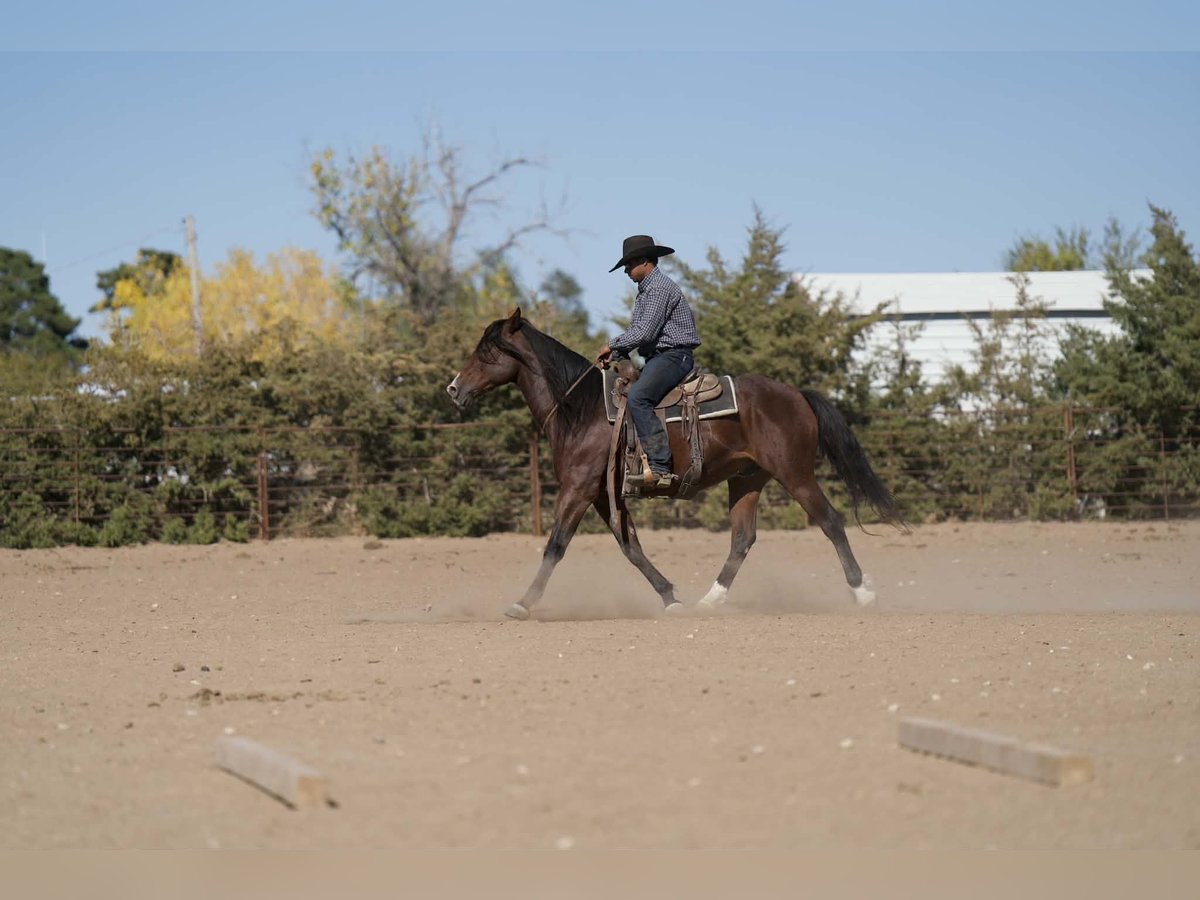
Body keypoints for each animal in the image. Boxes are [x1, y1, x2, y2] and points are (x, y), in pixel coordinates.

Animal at [446, 309, 906, 620]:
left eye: (487, 352)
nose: (453, 389)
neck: (582, 409)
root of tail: (795, 394)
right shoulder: (603, 495)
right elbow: (630, 547)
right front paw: (670, 597)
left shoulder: (578, 490)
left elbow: (556, 545)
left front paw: (522, 604)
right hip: (746, 480)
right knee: (743, 539)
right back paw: (710, 600)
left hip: (796, 474)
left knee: (830, 522)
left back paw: (862, 593)